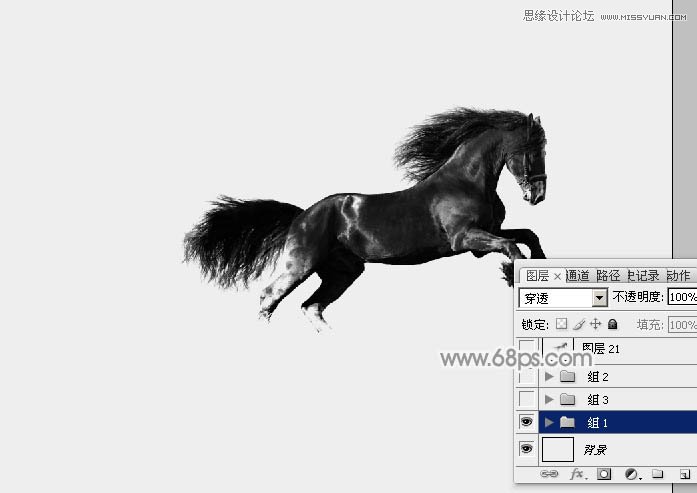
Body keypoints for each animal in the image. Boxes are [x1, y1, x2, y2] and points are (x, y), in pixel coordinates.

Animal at [184, 108, 547, 332]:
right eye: (533, 150)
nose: (538, 194)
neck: (466, 182)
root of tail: (301, 215)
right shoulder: (465, 239)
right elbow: (511, 245)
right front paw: (513, 276)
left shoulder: (486, 234)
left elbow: (527, 235)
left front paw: (539, 266)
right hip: (301, 263)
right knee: (270, 296)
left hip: (343, 272)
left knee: (311, 306)